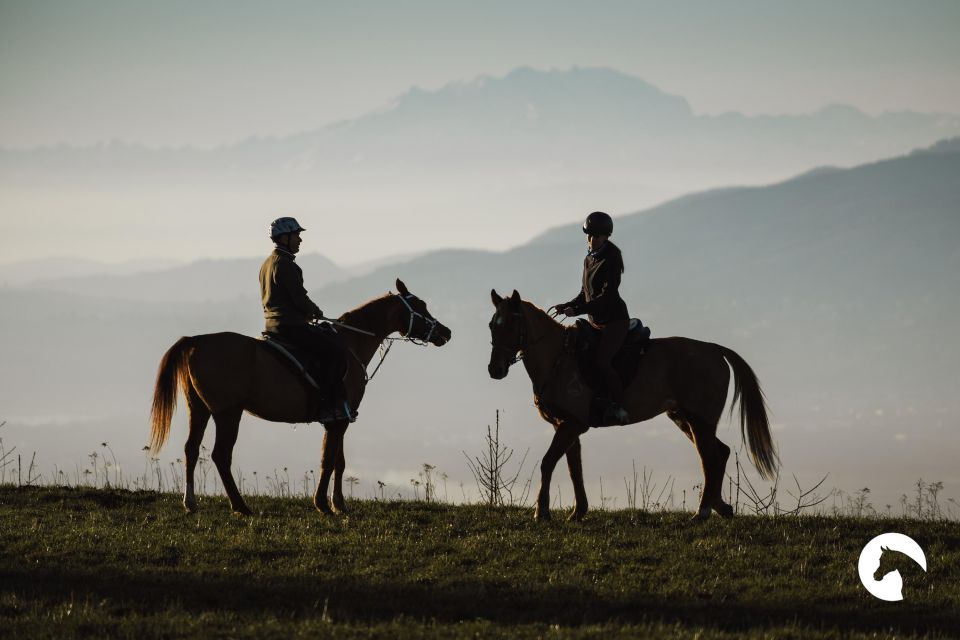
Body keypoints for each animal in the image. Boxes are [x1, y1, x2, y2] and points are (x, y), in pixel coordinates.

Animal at [149, 279, 451, 515]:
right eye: (420, 306)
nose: (445, 332)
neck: (351, 344)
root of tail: (196, 341)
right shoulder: (339, 419)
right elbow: (328, 461)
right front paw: (322, 504)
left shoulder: (339, 418)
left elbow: (338, 462)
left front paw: (339, 504)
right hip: (228, 413)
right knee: (221, 455)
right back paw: (240, 506)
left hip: (199, 409)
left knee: (190, 449)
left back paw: (191, 503)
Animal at [487, 289, 778, 522]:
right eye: (492, 325)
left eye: (511, 323)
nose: (495, 369)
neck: (558, 358)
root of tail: (714, 349)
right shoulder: (566, 426)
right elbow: (574, 468)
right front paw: (578, 512)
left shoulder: (572, 425)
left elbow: (548, 462)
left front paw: (542, 512)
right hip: (684, 418)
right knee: (720, 453)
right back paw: (720, 507)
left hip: (700, 420)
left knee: (709, 458)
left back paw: (703, 512)